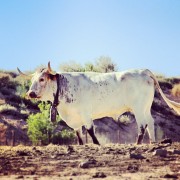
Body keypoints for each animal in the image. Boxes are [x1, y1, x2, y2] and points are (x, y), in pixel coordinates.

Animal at [17, 62, 179, 144]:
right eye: (32, 80)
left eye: (42, 79)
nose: (30, 93)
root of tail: (144, 71)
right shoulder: (76, 121)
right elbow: (79, 136)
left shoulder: (85, 114)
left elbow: (90, 131)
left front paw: (97, 145)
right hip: (146, 108)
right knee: (151, 123)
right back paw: (153, 143)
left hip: (138, 108)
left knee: (142, 125)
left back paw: (137, 145)